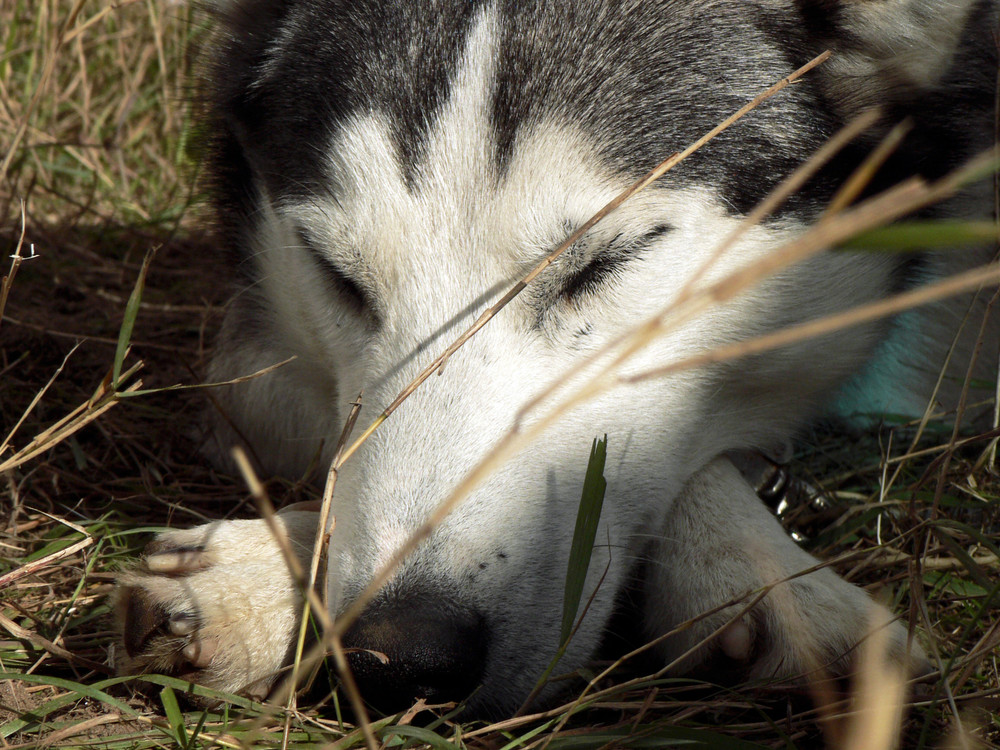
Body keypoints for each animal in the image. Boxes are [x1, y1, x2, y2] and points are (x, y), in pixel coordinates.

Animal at [115, 0, 992, 716]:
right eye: (338, 275)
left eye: (606, 262)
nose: (403, 654)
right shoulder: (258, 353)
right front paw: (261, 578)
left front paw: (765, 578)